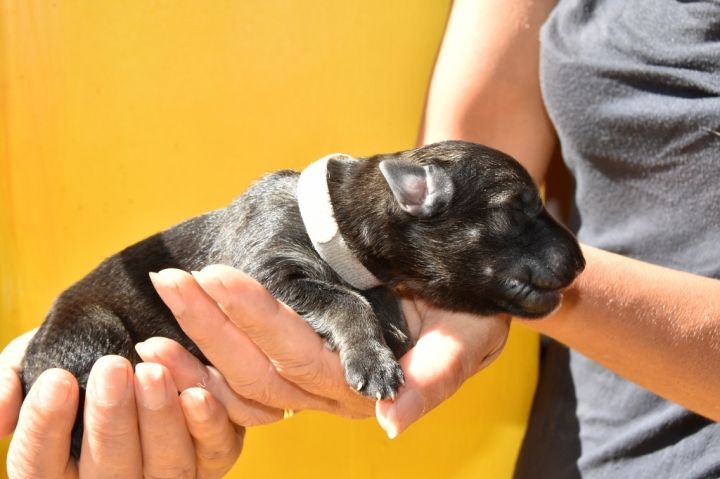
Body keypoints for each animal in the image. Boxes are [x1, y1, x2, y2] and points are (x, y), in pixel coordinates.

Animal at [20, 140, 585, 457]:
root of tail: (29, 362)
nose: (582, 263)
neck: (333, 222)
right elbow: (343, 299)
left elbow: (372, 297)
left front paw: (391, 327)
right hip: (91, 332)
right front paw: (372, 358)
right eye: (516, 209)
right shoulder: (265, 269)